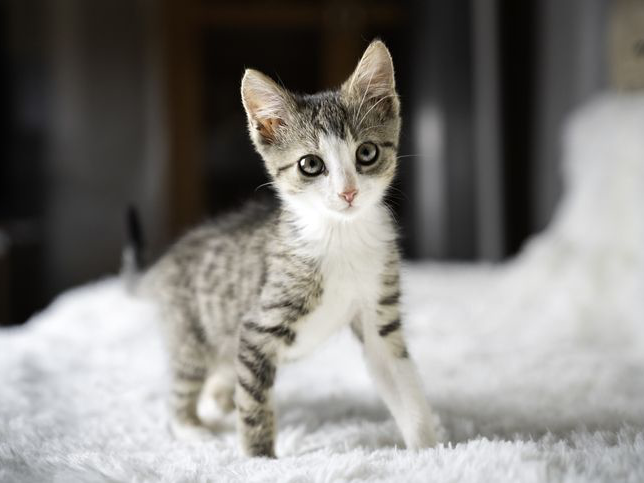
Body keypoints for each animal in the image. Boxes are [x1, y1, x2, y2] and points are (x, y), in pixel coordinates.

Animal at [138, 40, 436, 458]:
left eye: (366, 153)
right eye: (310, 164)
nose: (348, 192)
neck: (340, 236)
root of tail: (167, 258)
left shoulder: (380, 314)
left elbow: (404, 386)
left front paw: (432, 451)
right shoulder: (256, 329)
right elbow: (255, 403)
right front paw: (260, 459)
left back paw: (218, 400)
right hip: (191, 334)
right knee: (184, 384)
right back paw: (193, 428)